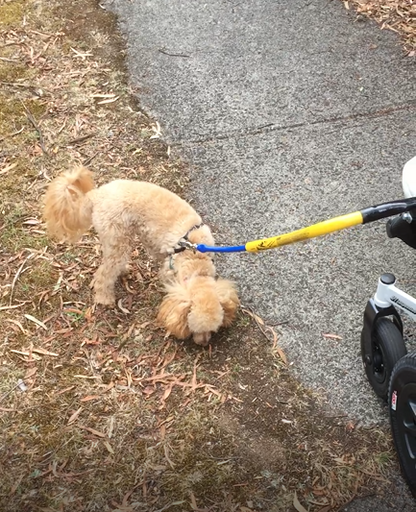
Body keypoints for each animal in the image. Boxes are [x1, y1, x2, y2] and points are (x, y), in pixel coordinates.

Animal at [43, 166, 239, 346]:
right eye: (194, 329)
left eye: (212, 329)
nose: (203, 344)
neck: (196, 257)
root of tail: (97, 194)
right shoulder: (169, 270)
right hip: (118, 238)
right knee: (103, 274)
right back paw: (104, 298)